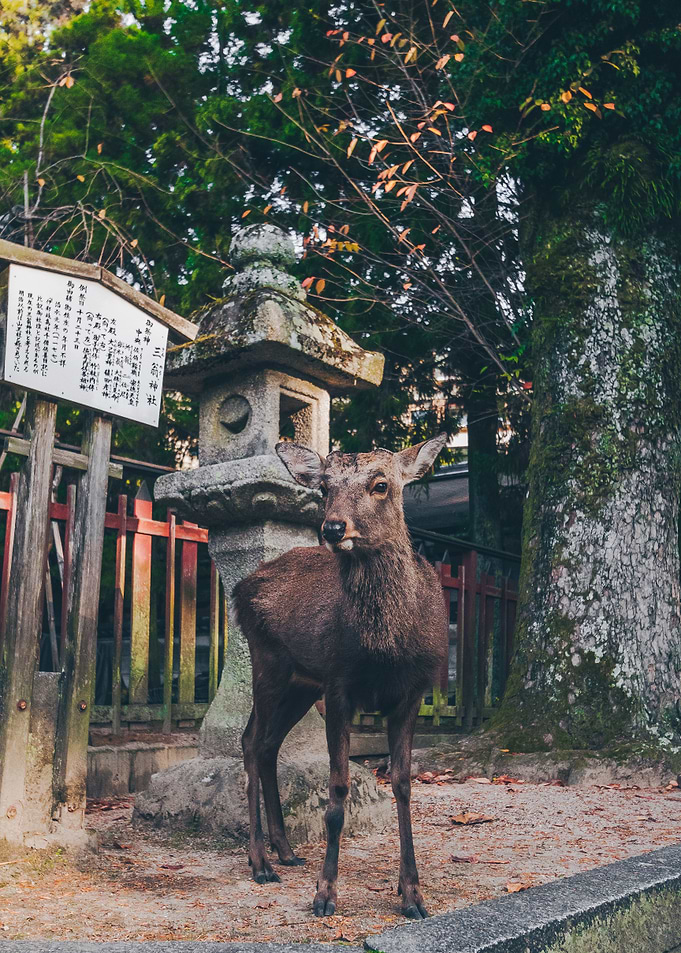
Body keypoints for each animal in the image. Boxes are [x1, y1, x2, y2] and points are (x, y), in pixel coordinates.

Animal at [232, 434, 448, 921]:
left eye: (381, 484)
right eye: (325, 487)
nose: (333, 528)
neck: (386, 649)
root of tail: (239, 587)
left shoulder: (413, 693)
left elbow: (403, 785)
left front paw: (412, 893)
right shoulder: (338, 687)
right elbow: (337, 791)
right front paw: (325, 893)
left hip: (300, 683)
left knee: (267, 743)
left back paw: (286, 850)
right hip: (267, 661)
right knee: (251, 740)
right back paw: (260, 862)